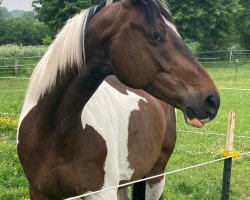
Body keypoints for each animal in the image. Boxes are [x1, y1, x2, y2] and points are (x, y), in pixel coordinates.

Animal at [17, 0, 219, 199]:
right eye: (156, 35)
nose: (212, 100)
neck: (55, 131)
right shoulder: (38, 191)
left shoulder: (102, 193)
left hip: (156, 175)